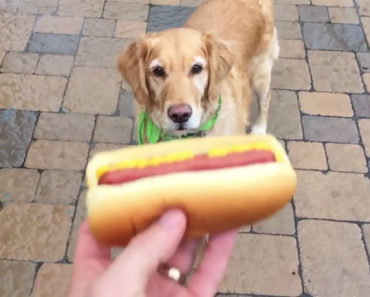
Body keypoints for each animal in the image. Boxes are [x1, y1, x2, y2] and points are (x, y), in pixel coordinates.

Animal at [118, 0, 278, 143]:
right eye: (158, 70)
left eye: (196, 68)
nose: (180, 114)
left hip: (260, 72)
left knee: (266, 98)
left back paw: (259, 128)